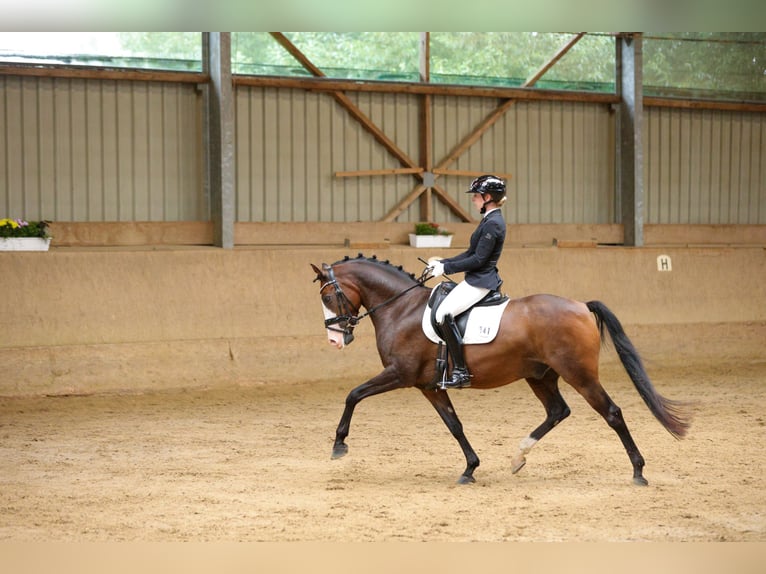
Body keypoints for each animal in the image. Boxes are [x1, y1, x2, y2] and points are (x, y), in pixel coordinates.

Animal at [308, 256, 692, 486]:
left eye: (328, 298)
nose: (335, 339)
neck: (401, 308)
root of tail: (581, 305)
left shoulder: (400, 374)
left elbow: (353, 394)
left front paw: (339, 444)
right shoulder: (430, 386)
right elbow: (455, 426)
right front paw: (470, 469)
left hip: (579, 374)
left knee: (611, 413)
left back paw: (638, 471)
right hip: (540, 376)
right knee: (558, 411)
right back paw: (518, 457)